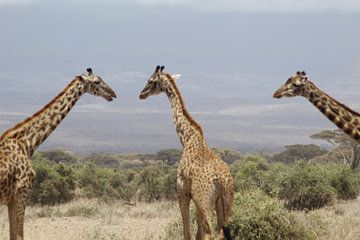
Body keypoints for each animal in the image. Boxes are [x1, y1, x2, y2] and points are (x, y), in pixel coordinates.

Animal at [0, 68, 116, 239]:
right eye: (96, 81)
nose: (112, 93)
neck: (26, 144)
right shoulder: (21, 192)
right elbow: (18, 235)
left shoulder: (11, 199)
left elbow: (13, 234)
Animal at [139, 65, 235, 240]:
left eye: (150, 80)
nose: (141, 94)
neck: (187, 138)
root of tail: (222, 180)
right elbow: (198, 233)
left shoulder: (182, 191)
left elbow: (187, 231)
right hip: (226, 202)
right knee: (220, 233)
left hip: (204, 201)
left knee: (210, 234)